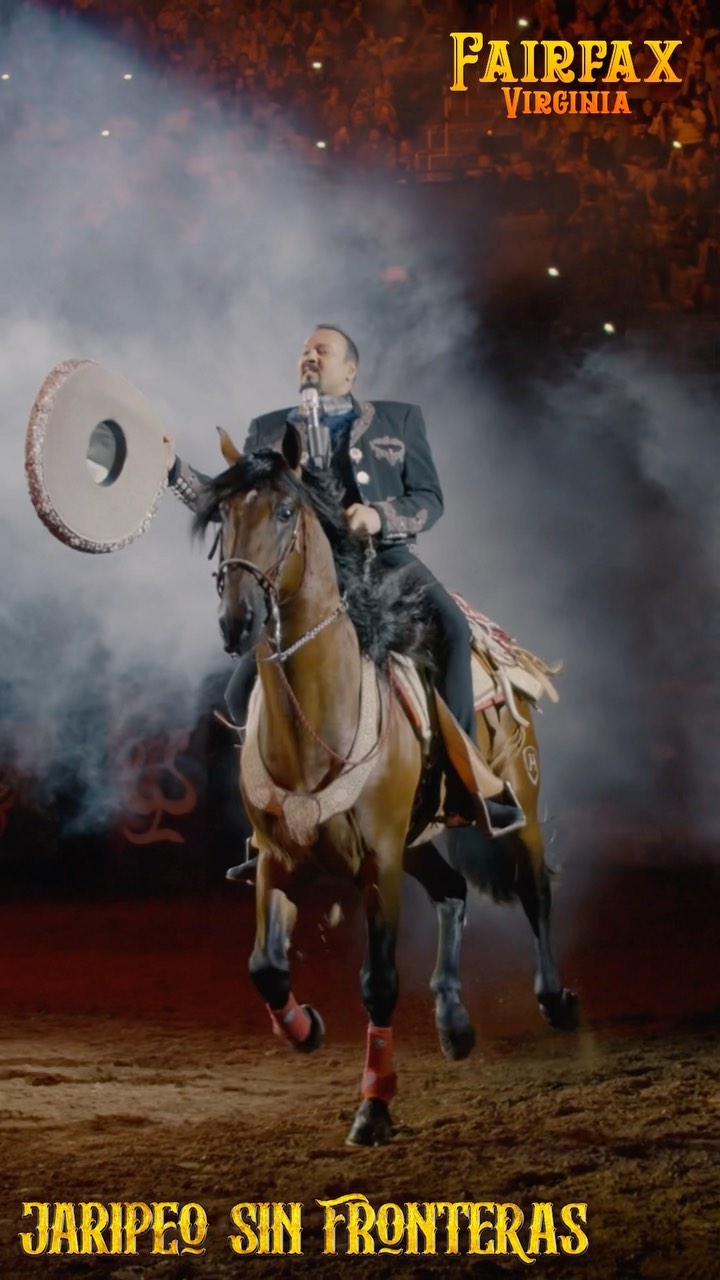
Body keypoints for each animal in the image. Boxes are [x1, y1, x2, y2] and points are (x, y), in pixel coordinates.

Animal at [194, 423, 578, 1147]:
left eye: (284, 513)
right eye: (223, 517)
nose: (238, 620)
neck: (318, 718)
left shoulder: (379, 866)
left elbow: (378, 982)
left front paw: (373, 1106)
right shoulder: (279, 859)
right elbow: (265, 967)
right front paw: (305, 1028)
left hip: (518, 807)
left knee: (535, 890)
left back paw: (556, 1001)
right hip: (418, 842)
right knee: (454, 891)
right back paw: (454, 1025)